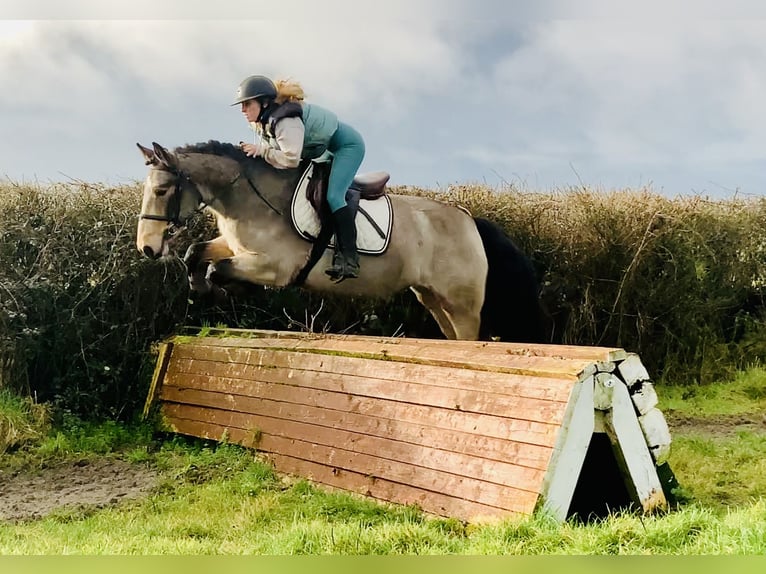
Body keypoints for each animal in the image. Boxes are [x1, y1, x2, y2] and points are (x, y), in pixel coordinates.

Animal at [135, 140, 545, 343]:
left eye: (161, 190)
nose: (147, 248)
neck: (249, 198)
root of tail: (470, 220)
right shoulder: (238, 248)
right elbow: (196, 253)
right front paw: (198, 288)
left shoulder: (274, 267)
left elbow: (218, 268)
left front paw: (225, 290)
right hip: (434, 300)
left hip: (462, 305)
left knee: (471, 339)